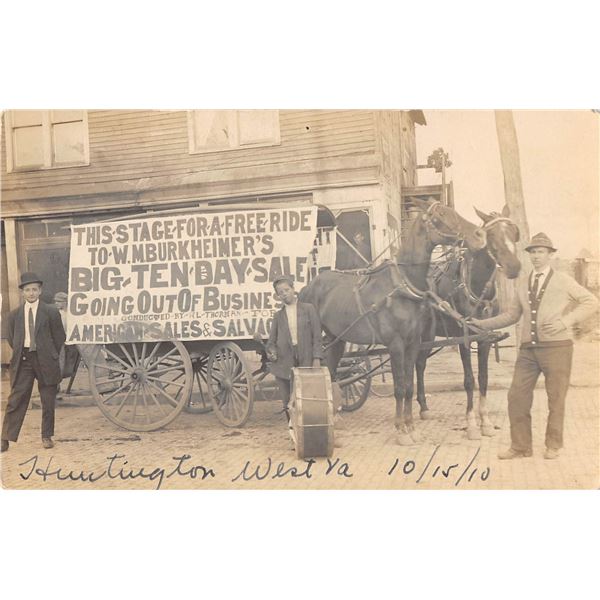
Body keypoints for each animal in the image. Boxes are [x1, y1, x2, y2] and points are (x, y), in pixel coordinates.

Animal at [300, 198, 488, 446]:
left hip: (335, 338)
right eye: (439, 216)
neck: (402, 286)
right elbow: (398, 387)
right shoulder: (396, 344)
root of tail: (308, 286)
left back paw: (335, 415)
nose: (479, 234)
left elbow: (408, 385)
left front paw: (411, 427)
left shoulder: (413, 343)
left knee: (331, 370)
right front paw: (400, 430)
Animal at [414, 204, 524, 438]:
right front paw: (472, 424)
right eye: (491, 235)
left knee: (419, 364)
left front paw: (486, 422)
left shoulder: (484, 339)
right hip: (423, 334)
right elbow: (469, 380)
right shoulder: (463, 339)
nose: (514, 266)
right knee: (417, 364)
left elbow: (483, 378)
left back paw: (424, 406)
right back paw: (421, 406)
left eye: (513, 232)